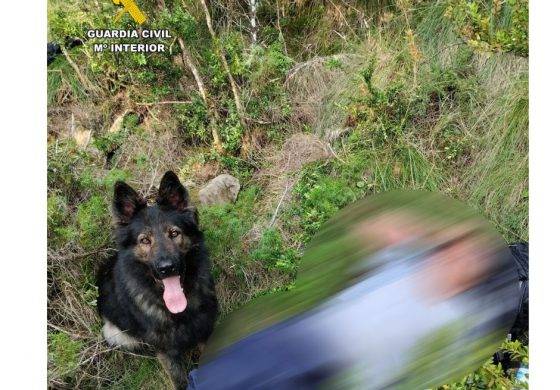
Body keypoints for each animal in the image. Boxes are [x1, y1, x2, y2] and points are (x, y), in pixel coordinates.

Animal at [96, 172, 219, 388]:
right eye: (145, 240)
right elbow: (179, 380)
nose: (166, 268)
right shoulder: (166, 352)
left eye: (174, 233)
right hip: (114, 333)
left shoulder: (205, 332)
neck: (178, 311)